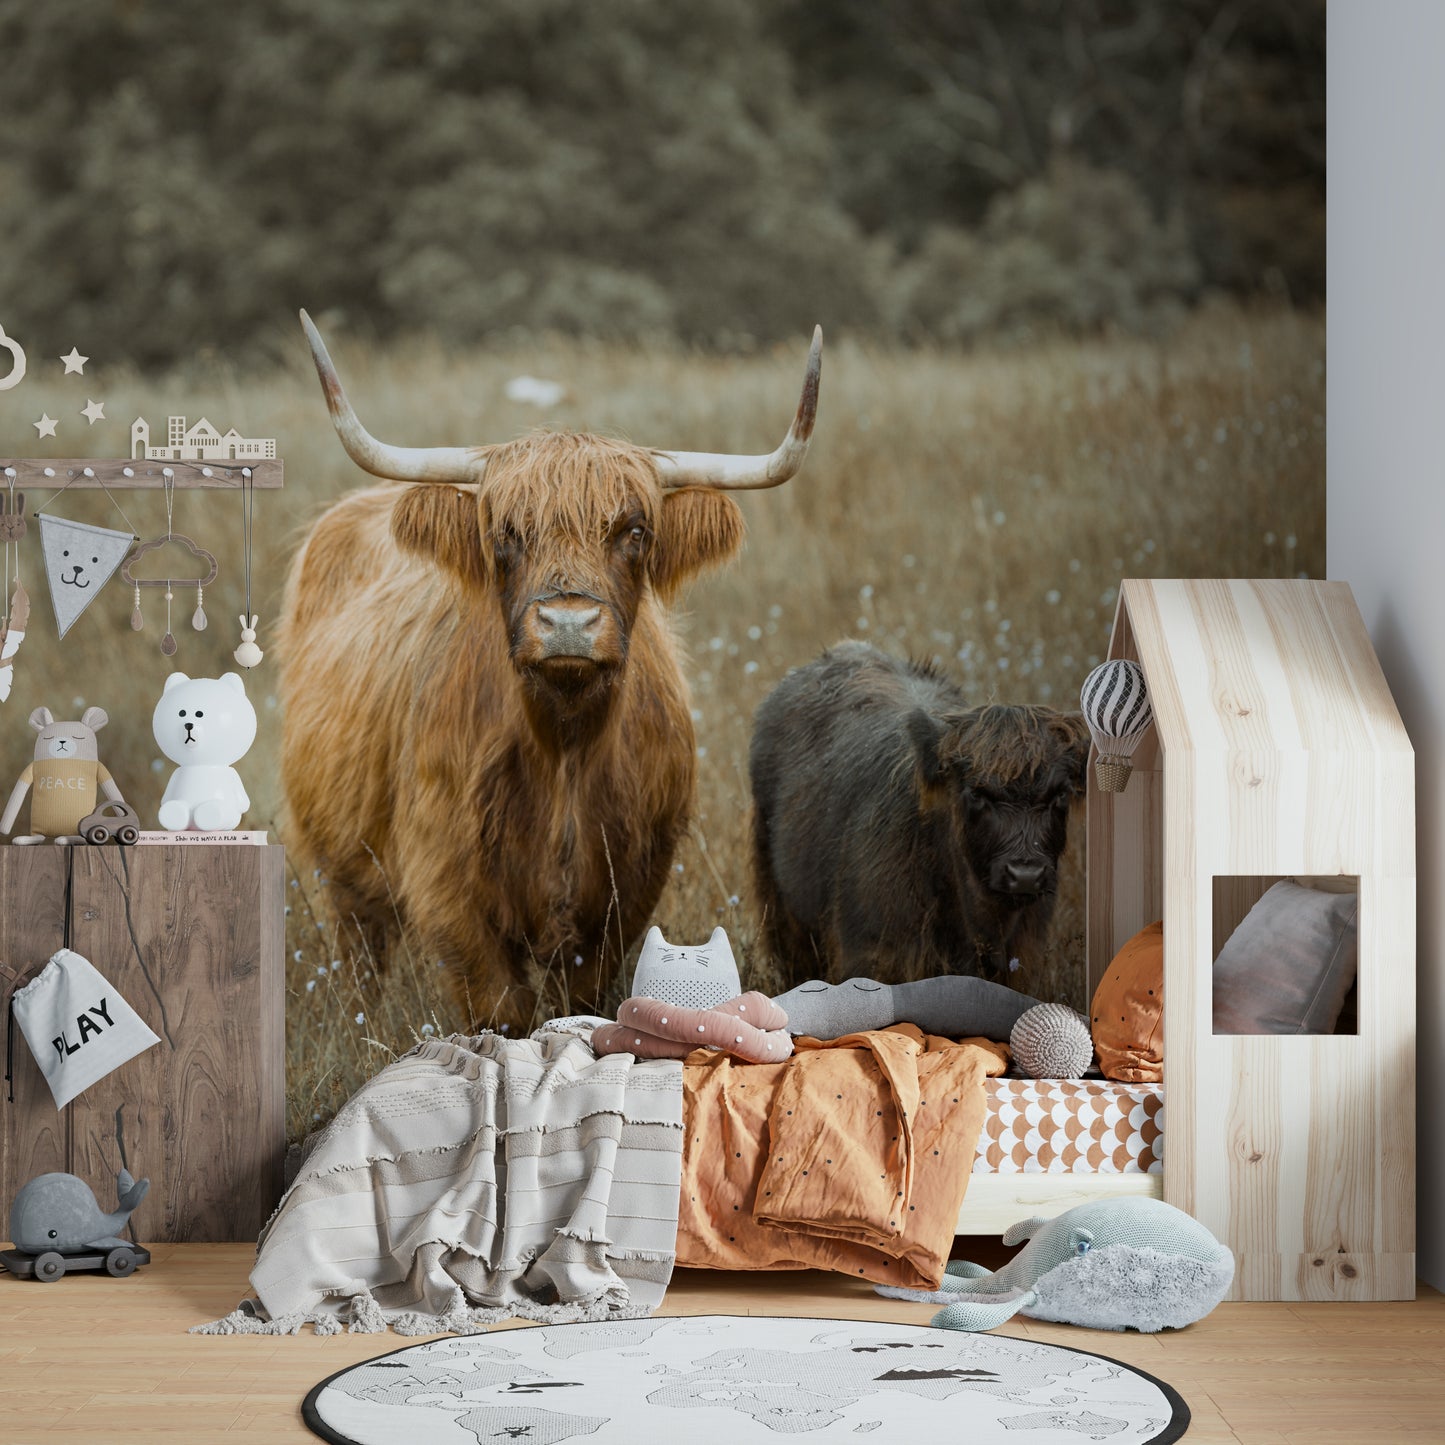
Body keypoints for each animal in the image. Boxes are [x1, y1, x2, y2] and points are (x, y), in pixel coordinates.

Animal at [280, 310, 821, 1027]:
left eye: (635, 531)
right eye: (504, 533)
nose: (567, 622)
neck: (564, 750)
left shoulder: (625, 893)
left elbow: (580, 999)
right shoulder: (451, 892)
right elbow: (501, 1010)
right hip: (339, 864)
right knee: (358, 953)